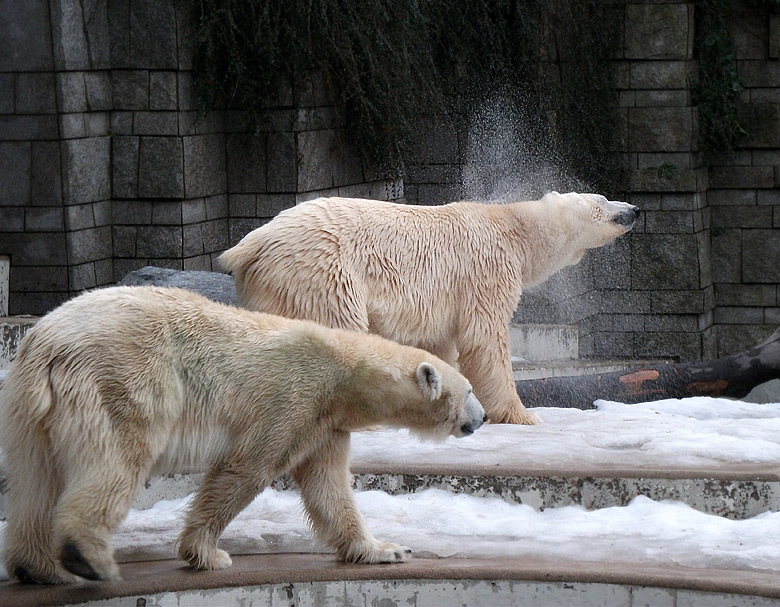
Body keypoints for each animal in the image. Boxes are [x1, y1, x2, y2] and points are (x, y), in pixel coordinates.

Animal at [1, 286, 488, 584]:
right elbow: (247, 468)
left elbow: (328, 486)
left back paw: (38, 567)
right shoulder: (294, 396)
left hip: (30, 407)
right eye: (469, 390)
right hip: (122, 376)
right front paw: (206, 554)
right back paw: (86, 556)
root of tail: (46, 340)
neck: (343, 371)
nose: (482, 418)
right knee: (118, 456)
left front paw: (384, 549)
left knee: (37, 479)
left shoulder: (325, 422)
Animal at [219, 192, 640, 426]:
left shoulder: (440, 304)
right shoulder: (485, 271)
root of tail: (252, 244)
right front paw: (522, 414)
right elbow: (485, 339)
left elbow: (439, 347)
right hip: (324, 272)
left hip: (275, 286)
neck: (513, 227)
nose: (635, 208)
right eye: (602, 200)